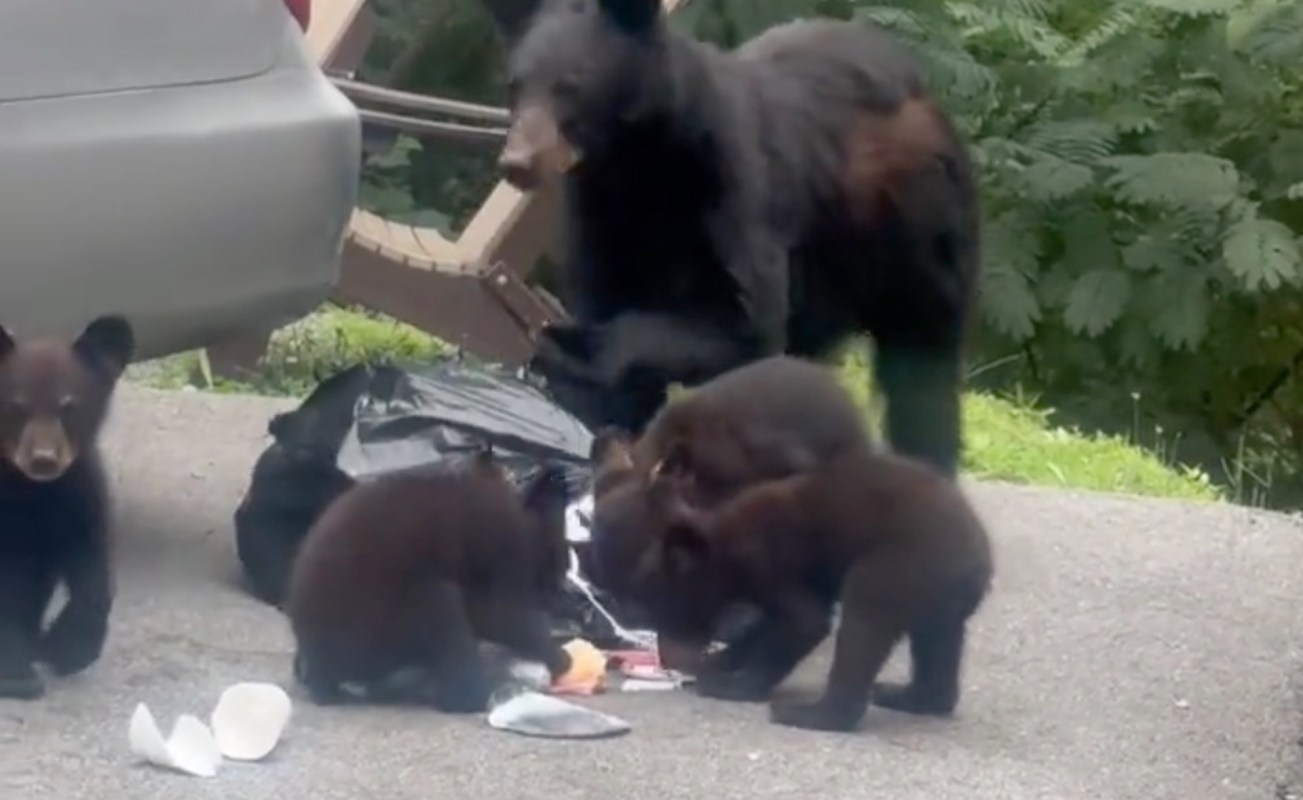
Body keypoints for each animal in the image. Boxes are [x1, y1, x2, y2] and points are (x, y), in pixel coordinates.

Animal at [0, 314, 136, 700]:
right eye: (17, 406)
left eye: (69, 406)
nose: (44, 460)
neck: (34, 490)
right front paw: (16, 673)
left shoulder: (81, 493)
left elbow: (92, 565)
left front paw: (71, 647)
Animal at [284, 448, 575, 712]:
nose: (564, 592)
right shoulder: (495, 549)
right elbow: (500, 612)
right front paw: (556, 654)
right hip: (380, 617)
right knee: (443, 611)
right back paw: (477, 693)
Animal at [490, 0, 981, 480]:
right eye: (516, 85)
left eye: (570, 86)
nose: (518, 162)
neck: (639, 169)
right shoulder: (599, 218)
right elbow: (604, 299)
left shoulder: (730, 189)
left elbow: (742, 322)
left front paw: (572, 349)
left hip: (918, 230)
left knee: (922, 371)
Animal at [626, 440, 994, 733]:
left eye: (661, 610)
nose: (667, 659)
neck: (720, 547)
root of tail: (980, 561)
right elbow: (766, 626)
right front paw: (721, 662)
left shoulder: (768, 560)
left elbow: (804, 620)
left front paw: (735, 685)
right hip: (937, 595)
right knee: (938, 642)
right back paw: (911, 695)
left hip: (900, 565)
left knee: (863, 627)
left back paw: (812, 714)